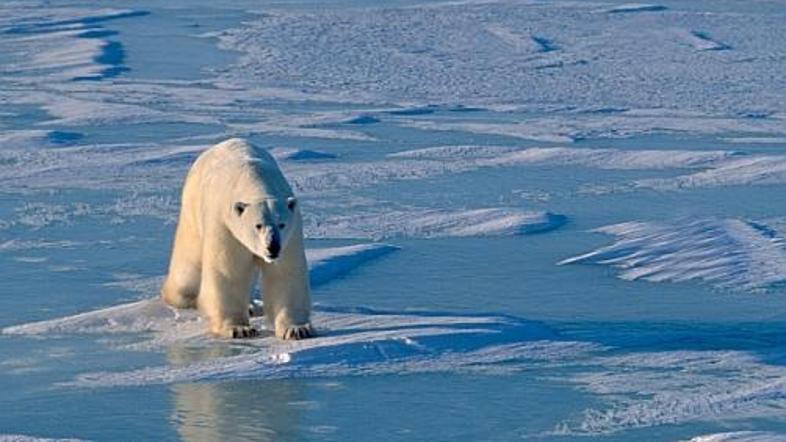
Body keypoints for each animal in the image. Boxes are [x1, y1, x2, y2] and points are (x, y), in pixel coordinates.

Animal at [161, 139, 314, 342]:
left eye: (281, 224)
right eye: (258, 225)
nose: (272, 247)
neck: (254, 179)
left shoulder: (291, 233)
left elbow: (285, 272)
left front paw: (297, 329)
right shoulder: (225, 226)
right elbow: (228, 271)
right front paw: (239, 329)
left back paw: (251, 306)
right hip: (192, 210)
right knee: (189, 263)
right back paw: (185, 298)